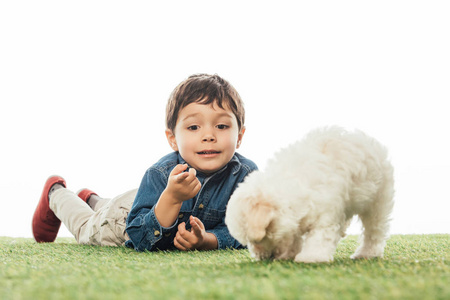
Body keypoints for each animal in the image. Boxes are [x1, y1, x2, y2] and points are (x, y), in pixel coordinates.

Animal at [225, 126, 394, 262]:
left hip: (378, 199)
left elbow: (320, 236)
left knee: (374, 229)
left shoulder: (326, 212)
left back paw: (367, 253)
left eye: (259, 240)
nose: (263, 258)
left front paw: (311, 257)